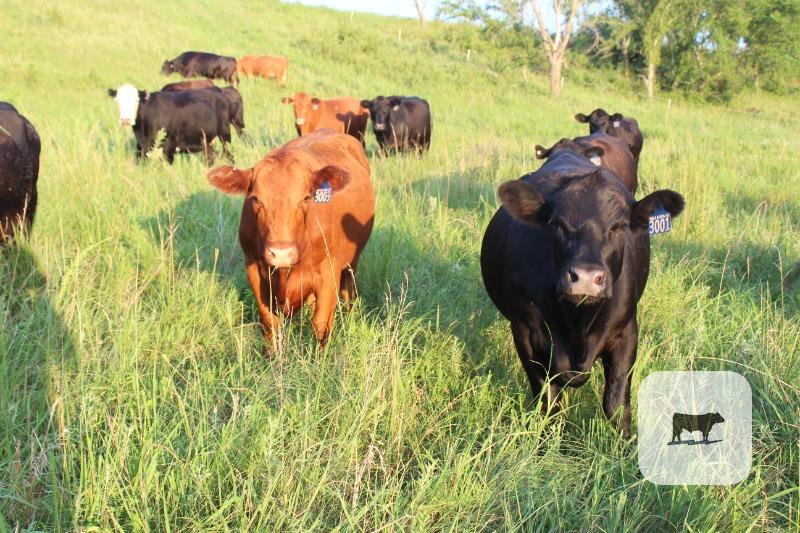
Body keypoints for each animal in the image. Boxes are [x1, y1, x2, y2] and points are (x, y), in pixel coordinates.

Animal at [207, 129, 375, 350]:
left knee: (349, 290)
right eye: (255, 199)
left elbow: (321, 323)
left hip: (351, 263)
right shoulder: (253, 269)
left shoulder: (329, 271)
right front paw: (271, 354)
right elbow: (269, 321)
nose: (281, 253)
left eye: (306, 198)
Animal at [480, 151, 684, 438]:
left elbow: (616, 403)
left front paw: (624, 445)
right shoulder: (525, 330)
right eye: (558, 224)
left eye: (619, 226)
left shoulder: (626, 331)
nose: (586, 278)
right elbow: (547, 399)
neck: (578, 323)